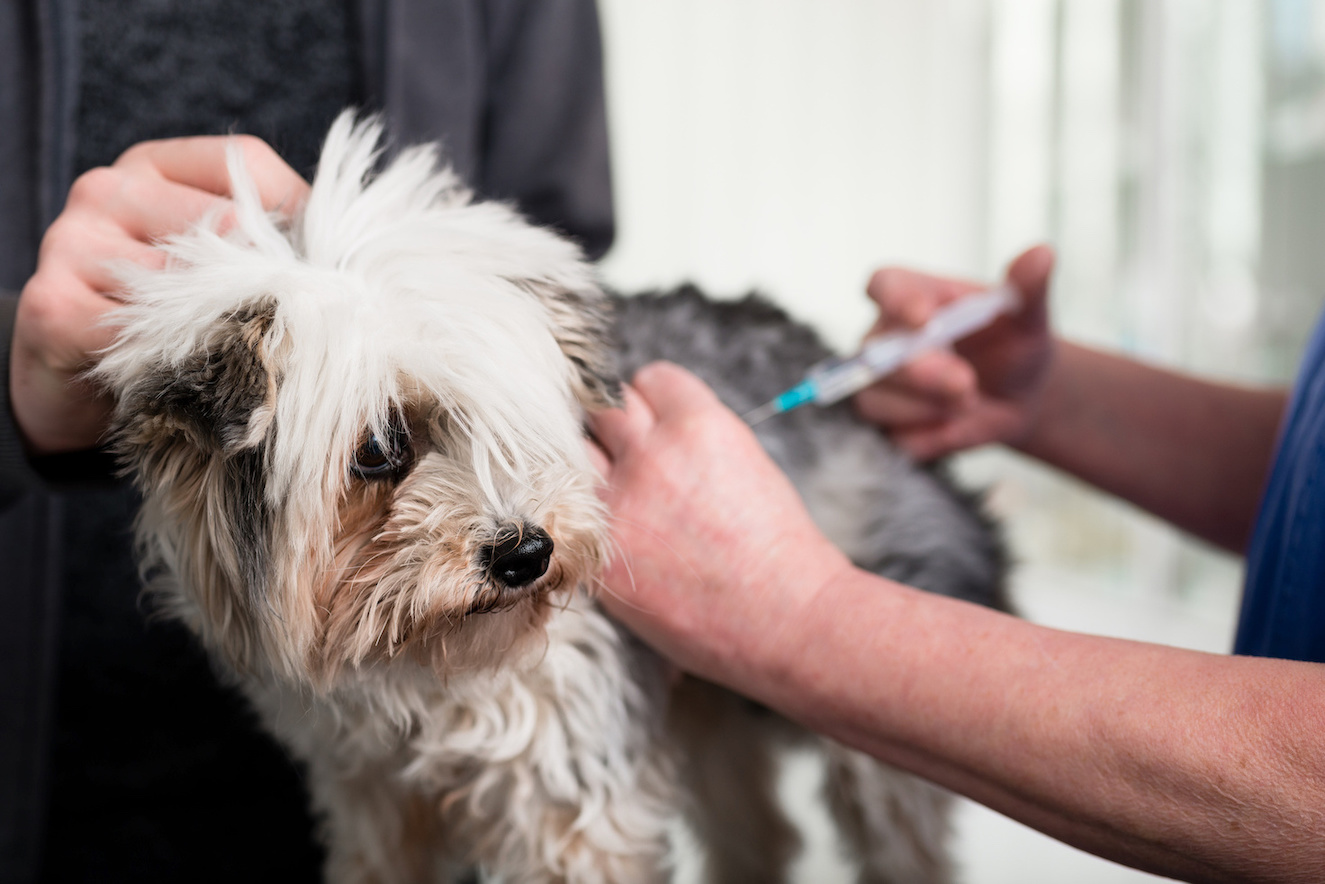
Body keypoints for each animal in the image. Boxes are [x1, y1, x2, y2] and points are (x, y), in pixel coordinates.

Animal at [96, 113, 1001, 880]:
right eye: (379, 450)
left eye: (518, 419)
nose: (527, 554)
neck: (418, 667)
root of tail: (841, 379)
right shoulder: (370, 795)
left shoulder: (571, 793)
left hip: (876, 731)